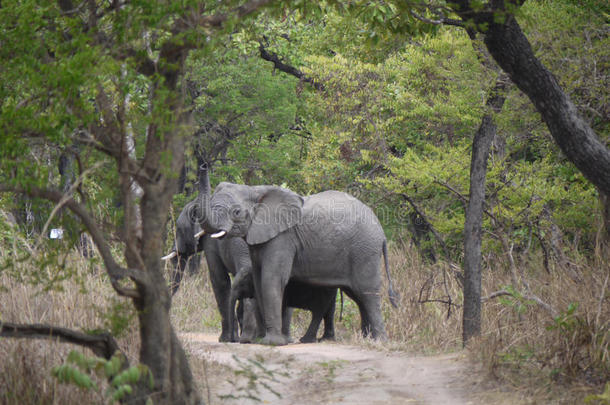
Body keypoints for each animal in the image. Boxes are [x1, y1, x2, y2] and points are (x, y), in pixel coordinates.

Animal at [202, 183, 396, 344]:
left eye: (236, 212)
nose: (232, 340)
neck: (255, 190)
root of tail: (382, 234)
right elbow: (259, 281)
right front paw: (261, 340)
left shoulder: (283, 238)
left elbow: (271, 279)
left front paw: (272, 343)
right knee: (357, 296)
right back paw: (366, 339)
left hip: (365, 251)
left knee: (367, 293)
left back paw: (379, 341)